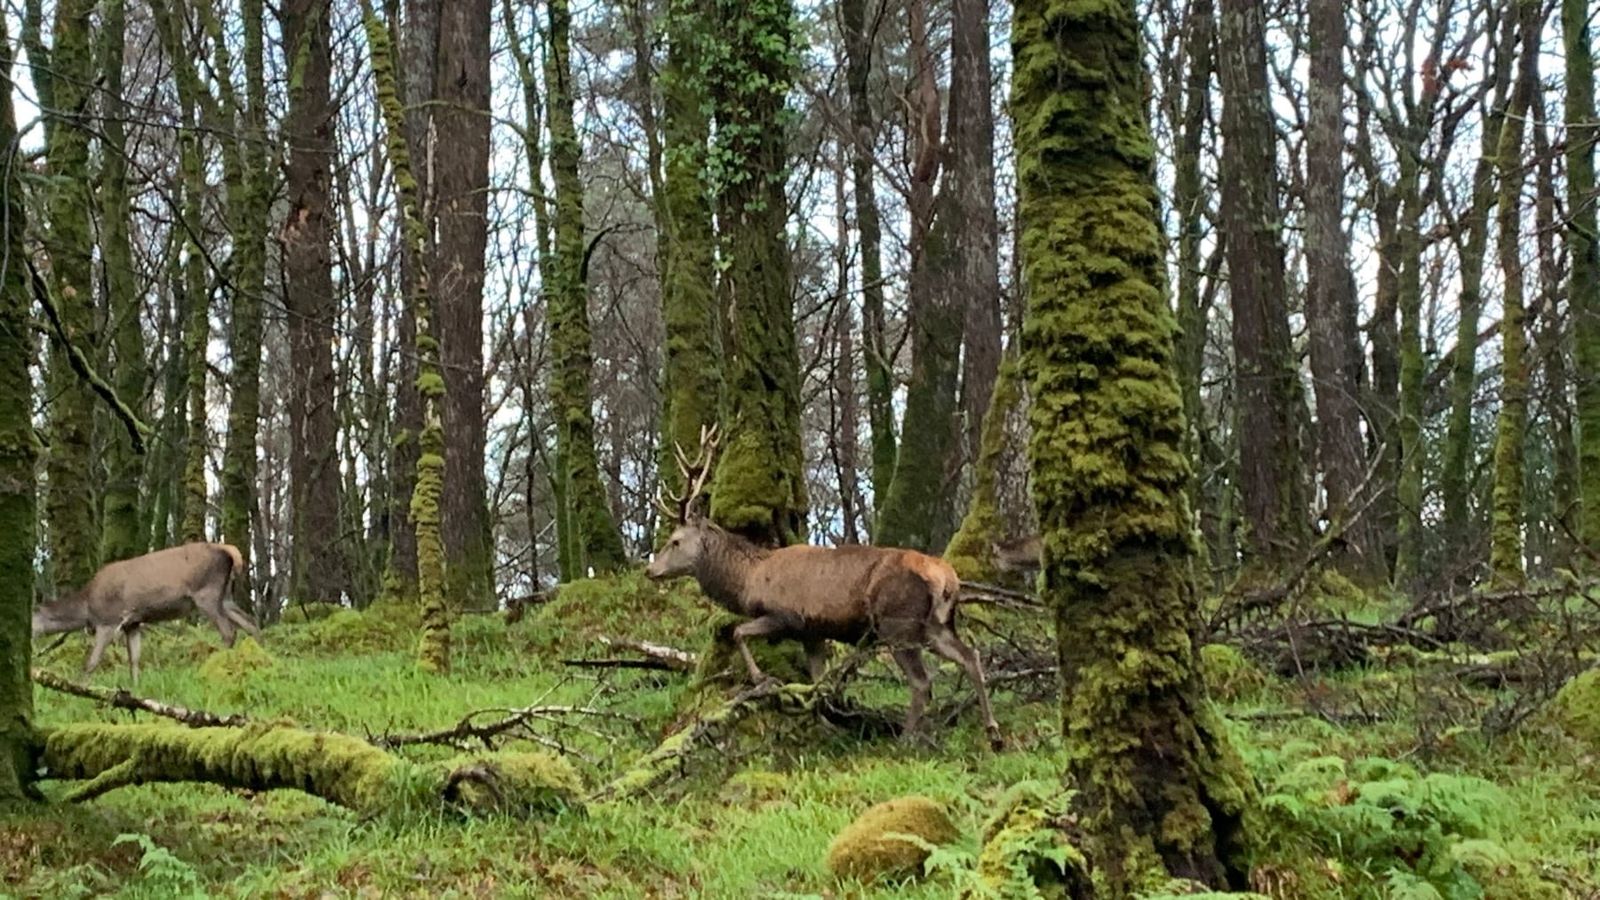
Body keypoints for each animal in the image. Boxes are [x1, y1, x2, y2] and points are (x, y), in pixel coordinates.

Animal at [32, 541, 261, 684]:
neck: (87, 607)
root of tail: (229, 551)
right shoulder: (133, 623)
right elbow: (134, 659)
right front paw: (135, 687)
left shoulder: (108, 620)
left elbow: (92, 662)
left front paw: (80, 687)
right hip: (226, 596)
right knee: (251, 623)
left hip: (206, 593)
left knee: (229, 631)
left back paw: (216, 667)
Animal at [644, 426, 1003, 750]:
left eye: (675, 541)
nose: (650, 570)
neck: (748, 580)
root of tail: (946, 577)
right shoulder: (813, 632)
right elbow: (817, 681)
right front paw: (826, 720)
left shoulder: (786, 615)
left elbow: (739, 632)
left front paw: (763, 679)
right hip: (936, 624)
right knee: (970, 656)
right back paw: (992, 732)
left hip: (897, 622)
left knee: (921, 681)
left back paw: (906, 739)